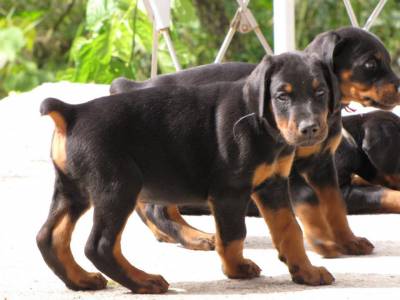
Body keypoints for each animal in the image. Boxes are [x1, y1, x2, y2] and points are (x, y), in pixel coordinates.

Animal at [37, 52, 338, 294]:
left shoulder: (273, 186)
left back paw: (81, 280)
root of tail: (72, 112)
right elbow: (233, 235)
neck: (261, 122)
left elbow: (290, 230)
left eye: (321, 92)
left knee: (49, 237)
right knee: (99, 246)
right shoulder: (229, 192)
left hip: (73, 190)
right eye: (282, 96)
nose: (311, 128)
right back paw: (143, 281)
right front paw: (236, 269)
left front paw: (306, 272)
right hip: (118, 187)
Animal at [113, 25, 400, 256]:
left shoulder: (322, 166)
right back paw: (194, 237)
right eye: (370, 64)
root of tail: (132, 86)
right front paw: (322, 242)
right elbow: (314, 201)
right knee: (158, 209)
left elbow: (334, 206)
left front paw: (348, 241)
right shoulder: (288, 170)